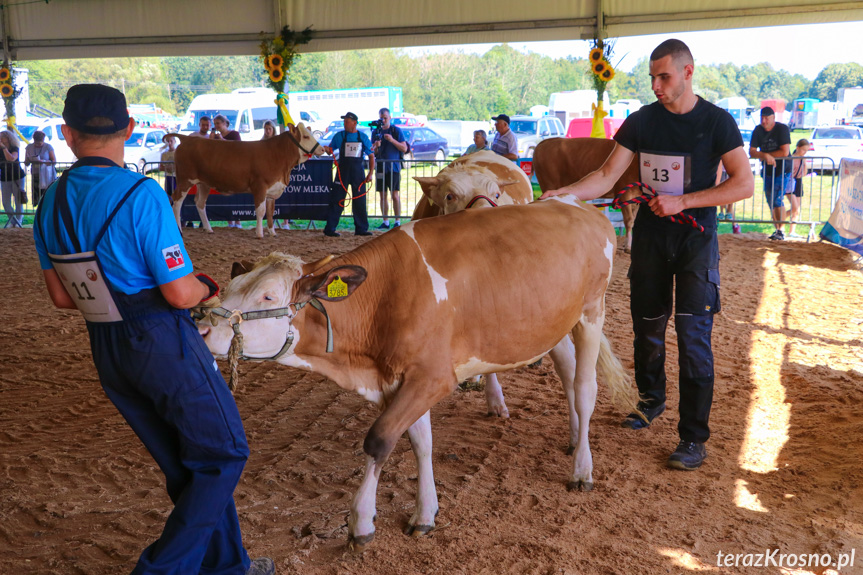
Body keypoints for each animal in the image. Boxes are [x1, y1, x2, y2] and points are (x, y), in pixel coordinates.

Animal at [166, 124, 324, 241]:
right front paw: (259, 234)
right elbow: (261, 211)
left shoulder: (272, 190)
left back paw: (208, 229)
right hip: (184, 180)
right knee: (176, 201)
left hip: (203, 183)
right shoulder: (260, 187)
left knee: (199, 203)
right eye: (306, 136)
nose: (322, 149)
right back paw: (179, 230)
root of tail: (187, 139)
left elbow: (271, 212)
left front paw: (272, 232)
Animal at [199, 196, 636, 552]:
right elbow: (420, 442)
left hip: (592, 312)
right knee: (567, 374)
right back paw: (574, 437)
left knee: (585, 388)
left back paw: (582, 469)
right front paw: (425, 513)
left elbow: (380, 440)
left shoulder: (433, 377)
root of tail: (581, 206)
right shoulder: (401, 378)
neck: (383, 298)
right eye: (232, 285)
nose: (201, 328)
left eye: (268, 295)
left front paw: (361, 522)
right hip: (551, 324)